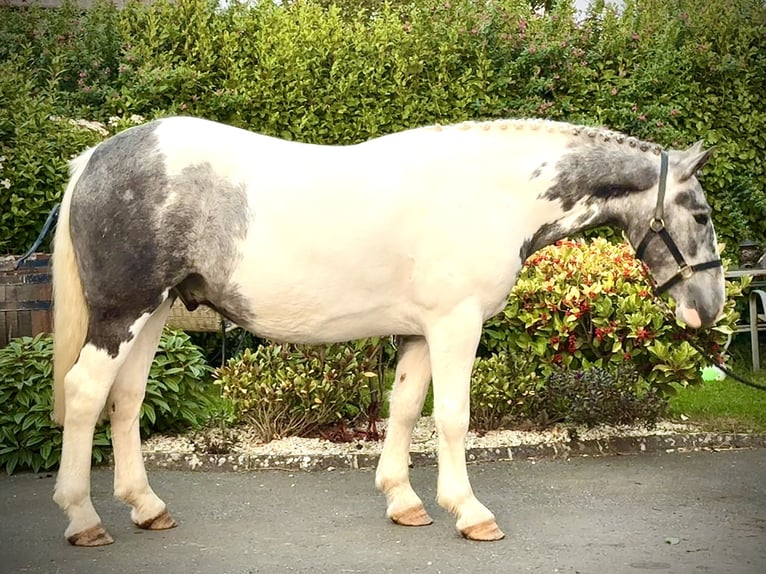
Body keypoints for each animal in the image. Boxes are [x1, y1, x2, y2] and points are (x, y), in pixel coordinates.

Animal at [52, 115, 728, 548]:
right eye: (700, 214)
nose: (710, 309)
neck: (491, 191)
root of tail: (93, 159)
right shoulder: (456, 325)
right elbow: (452, 416)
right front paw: (470, 512)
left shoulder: (423, 332)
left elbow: (404, 409)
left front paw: (404, 501)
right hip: (123, 314)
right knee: (85, 393)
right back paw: (83, 519)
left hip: (154, 313)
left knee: (126, 399)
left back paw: (147, 508)